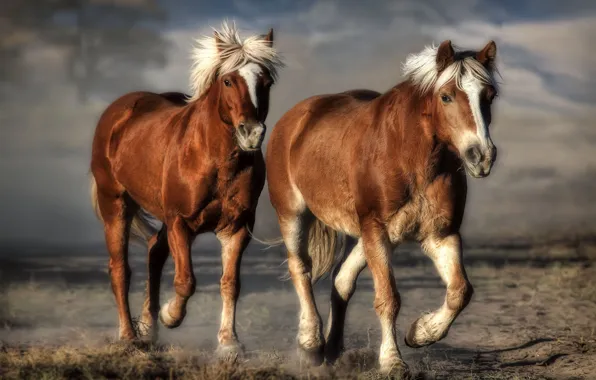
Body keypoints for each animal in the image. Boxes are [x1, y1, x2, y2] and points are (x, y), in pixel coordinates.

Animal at [89, 22, 284, 358]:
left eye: (267, 82)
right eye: (228, 80)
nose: (251, 133)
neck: (213, 159)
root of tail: (118, 113)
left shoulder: (237, 227)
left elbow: (230, 283)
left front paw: (229, 342)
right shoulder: (180, 222)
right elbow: (185, 282)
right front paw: (170, 315)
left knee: (154, 252)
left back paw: (148, 327)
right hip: (115, 204)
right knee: (120, 269)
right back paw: (129, 335)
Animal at [266, 39, 498, 374]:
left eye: (489, 96)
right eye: (446, 96)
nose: (481, 156)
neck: (411, 158)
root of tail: (295, 118)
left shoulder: (440, 234)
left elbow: (459, 292)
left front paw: (421, 332)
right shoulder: (376, 229)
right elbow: (388, 299)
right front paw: (392, 361)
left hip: (366, 235)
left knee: (341, 281)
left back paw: (332, 349)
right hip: (293, 214)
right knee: (301, 269)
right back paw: (310, 344)